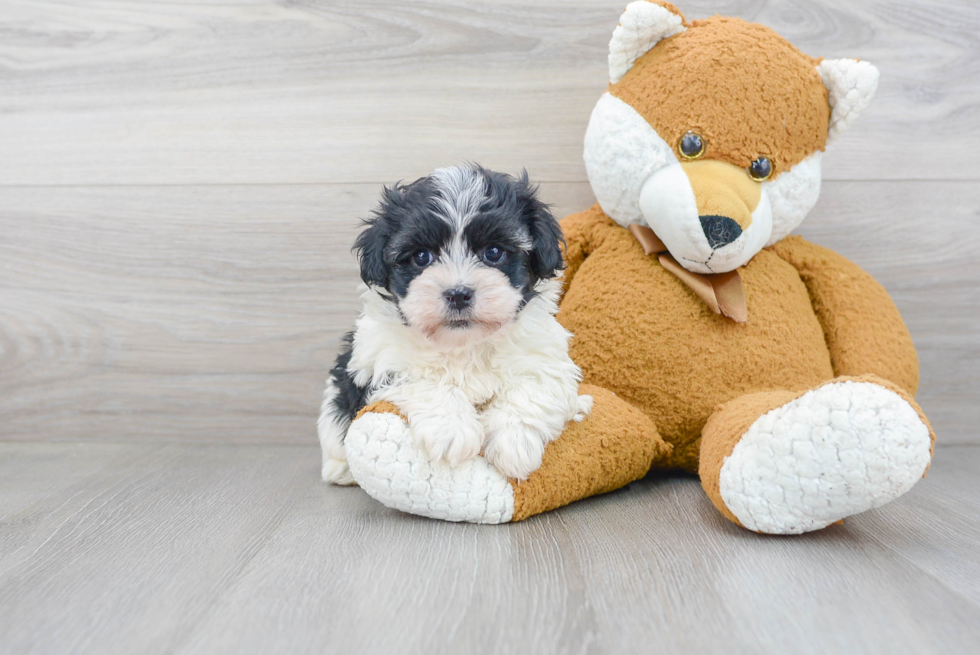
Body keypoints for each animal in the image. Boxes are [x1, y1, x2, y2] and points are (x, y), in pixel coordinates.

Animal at [320, 163, 588, 482]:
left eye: (494, 252)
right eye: (422, 257)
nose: (458, 294)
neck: (464, 343)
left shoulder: (544, 358)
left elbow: (534, 386)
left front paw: (513, 444)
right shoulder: (382, 359)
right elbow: (421, 379)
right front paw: (452, 431)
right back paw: (339, 469)